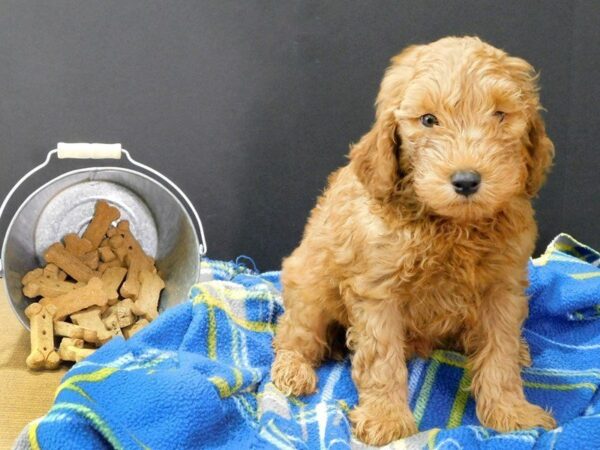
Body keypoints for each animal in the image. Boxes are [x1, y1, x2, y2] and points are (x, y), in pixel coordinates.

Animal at [270, 37, 556, 444]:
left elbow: (498, 353)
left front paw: (511, 412)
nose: (466, 180)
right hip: (310, 287)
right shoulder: (377, 293)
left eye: (499, 115)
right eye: (428, 120)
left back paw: (516, 350)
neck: (452, 226)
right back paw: (292, 370)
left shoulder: (503, 288)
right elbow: (381, 360)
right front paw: (387, 419)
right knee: (293, 335)